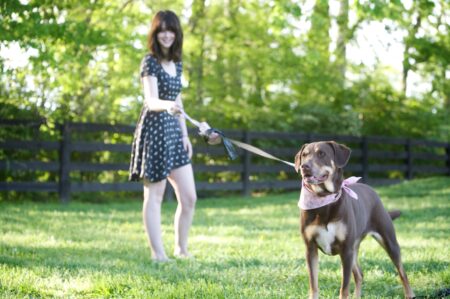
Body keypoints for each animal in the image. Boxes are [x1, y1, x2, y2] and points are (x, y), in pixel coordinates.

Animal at [296, 141, 414, 299]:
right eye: (304, 155)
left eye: (322, 154)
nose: (304, 166)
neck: (324, 200)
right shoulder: (311, 249)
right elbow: (313, 286)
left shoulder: (345, 250)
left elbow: (344, 288)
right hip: (354, 248)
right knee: (359, 274)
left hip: (388, 241)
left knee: (402, 272)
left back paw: (409, 293)